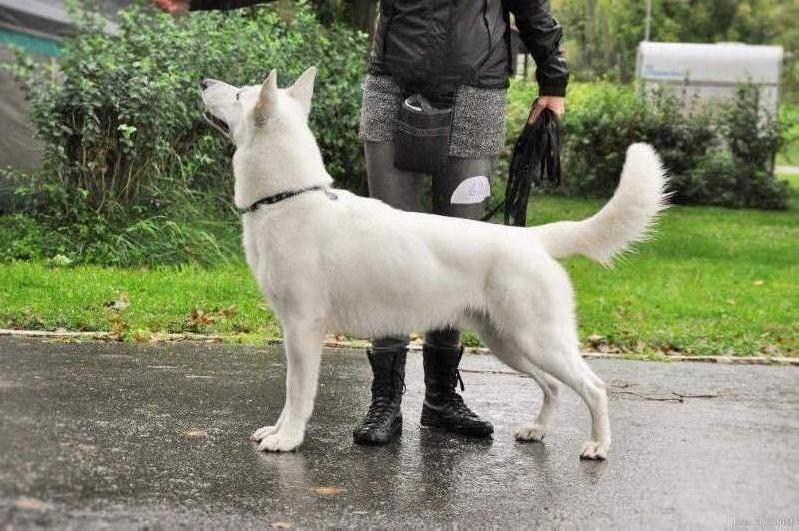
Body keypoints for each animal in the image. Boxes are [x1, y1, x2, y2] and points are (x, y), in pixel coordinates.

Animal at [200, 66, 668, 460]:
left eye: (239, 94)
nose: (204, 82)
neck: (289, 197)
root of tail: (531, 237)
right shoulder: (292, 330)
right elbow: (288, 394)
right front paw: (278, 430)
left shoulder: (303, 330)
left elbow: (297, 392)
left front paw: (288, 439)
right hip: (508, 343)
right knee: (552, 385)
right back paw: (537, 430)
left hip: (538, 340)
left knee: (594, 387)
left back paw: (598, 445)